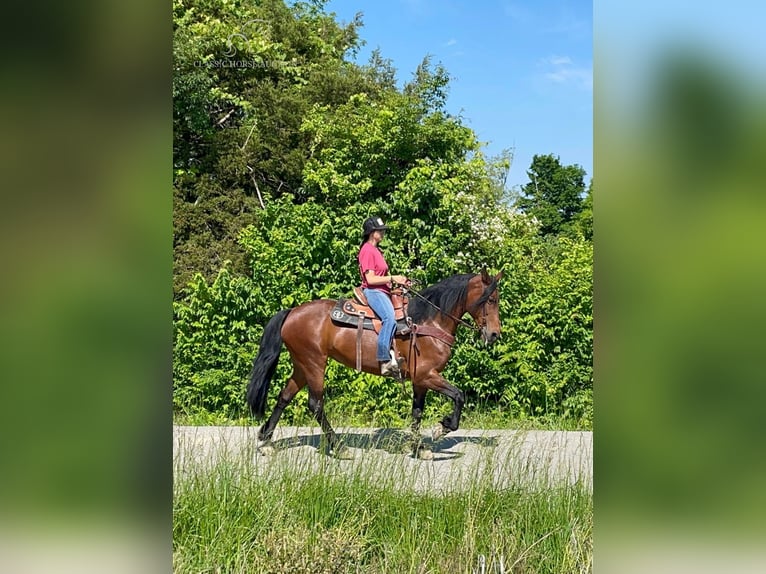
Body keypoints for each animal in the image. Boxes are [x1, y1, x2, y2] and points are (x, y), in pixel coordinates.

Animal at [246, 268, 504, 460]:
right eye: (490, 299)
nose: (494, 334)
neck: (429, 322)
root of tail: (292, 312)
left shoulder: (420, 381)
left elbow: (417, 412)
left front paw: (418, 448)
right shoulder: (427, 375)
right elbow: (459, 396)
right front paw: (442, 428)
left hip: (302, 365)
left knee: (284, 397)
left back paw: (266, 441)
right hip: (314, 363)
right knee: (315, 404)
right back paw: (340, 447)